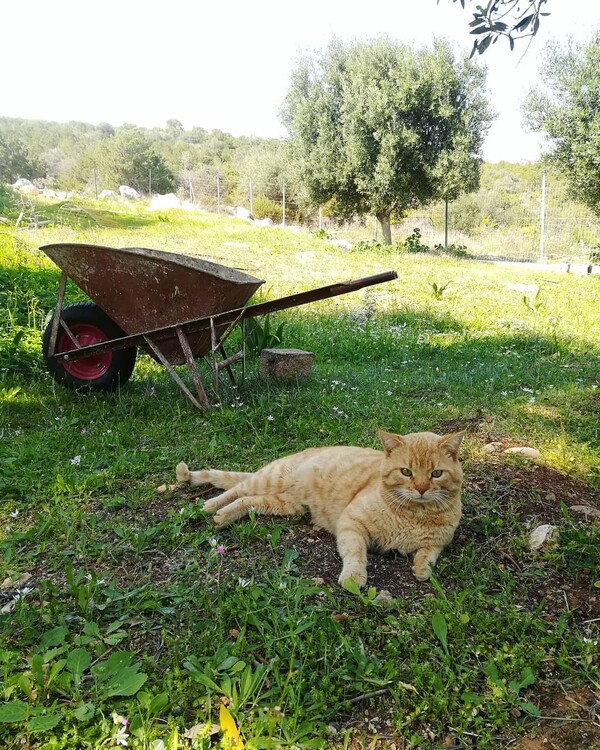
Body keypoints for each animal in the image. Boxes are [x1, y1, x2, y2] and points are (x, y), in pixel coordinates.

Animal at [175, 428, 464, 588]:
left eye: (436, 474)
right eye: (406, 472)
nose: (422, 489)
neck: (413, 515)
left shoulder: (441, 541)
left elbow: (429, 553)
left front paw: (422, 569)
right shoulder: (351, 524)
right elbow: (355, 553)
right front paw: (354, 577)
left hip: (284, 503)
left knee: (247, 500)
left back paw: (223, 516)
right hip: (270, 479)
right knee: (236, 489)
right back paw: (211, 507)